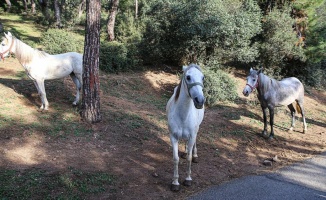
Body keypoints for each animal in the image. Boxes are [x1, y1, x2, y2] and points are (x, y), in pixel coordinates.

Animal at [167, 63, 205, 191]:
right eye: (188, 77)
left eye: (203, 78)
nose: (200, 101)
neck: (183, 115)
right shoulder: (173, 137)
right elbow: (175, 159)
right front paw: (175, 182)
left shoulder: (192, 135)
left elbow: (189, 158)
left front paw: (188, 179)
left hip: (197, 129)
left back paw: (195, 155)